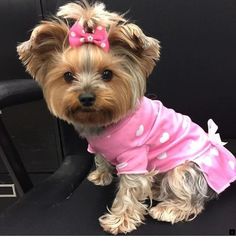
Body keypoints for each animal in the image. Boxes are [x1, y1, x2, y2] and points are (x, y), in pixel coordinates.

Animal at [17, 0, 235, 234]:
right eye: (68, 76)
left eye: (107, 74)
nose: (86, 97)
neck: (104, 122)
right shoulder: (97, 145)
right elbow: (100, 157)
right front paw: (101, 175)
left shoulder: (135, 156)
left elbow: (129, 189)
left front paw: (120, 220)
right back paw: (155, 189)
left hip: (185, 169)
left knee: (192, 199)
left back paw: (169, 208)